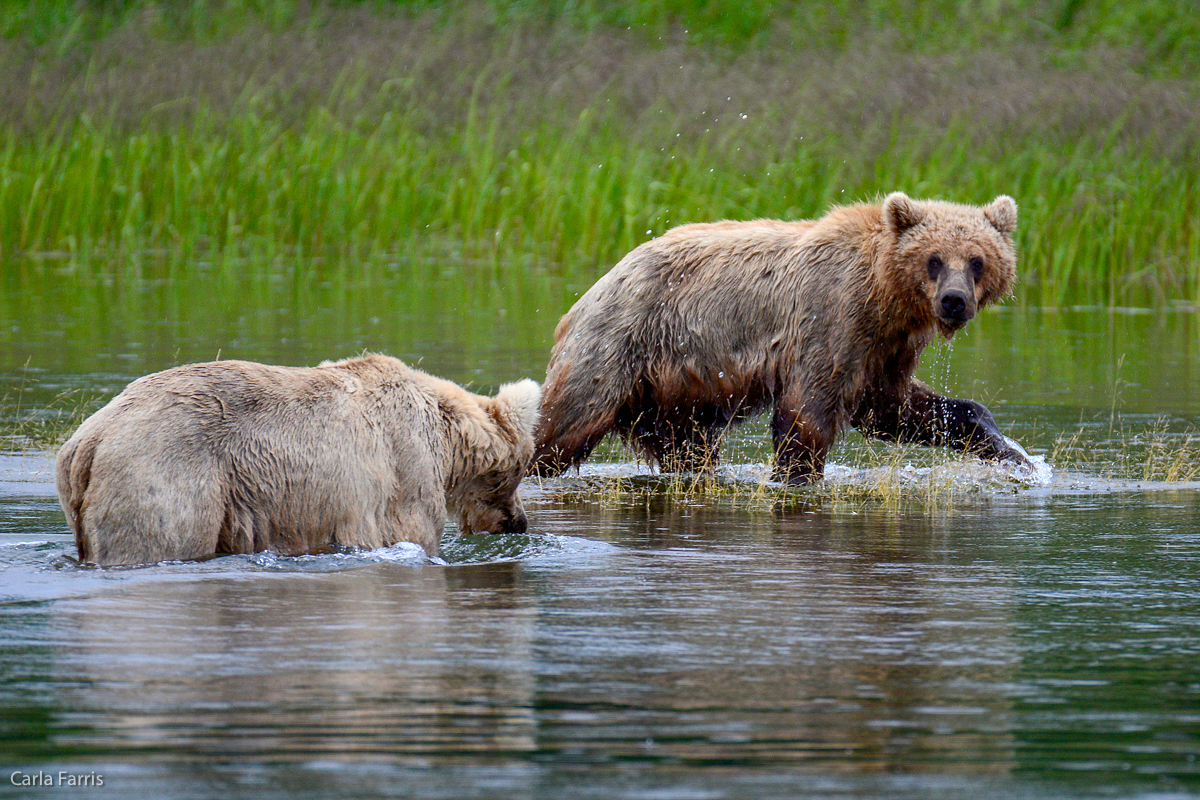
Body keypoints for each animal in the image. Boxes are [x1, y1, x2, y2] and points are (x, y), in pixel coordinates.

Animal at [58, 352, 537, 566]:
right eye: (518, 473)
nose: (519, 522)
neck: (446, 435)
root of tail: (87, 441)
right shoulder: (406, 466)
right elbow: (413, 533)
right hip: (166, 474)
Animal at [535, 190, 1032, 484]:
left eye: (977, 260)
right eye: (933, 259)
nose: (954, 301)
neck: (883, 294)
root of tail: (593, 289)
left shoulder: (884, 347)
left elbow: (893, 409)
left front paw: (1012, 453)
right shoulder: (831, 319)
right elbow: (807, 413)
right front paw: (796, 475)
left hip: (674, 388)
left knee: (687, 444)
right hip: (621, 344)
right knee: (565, 425)